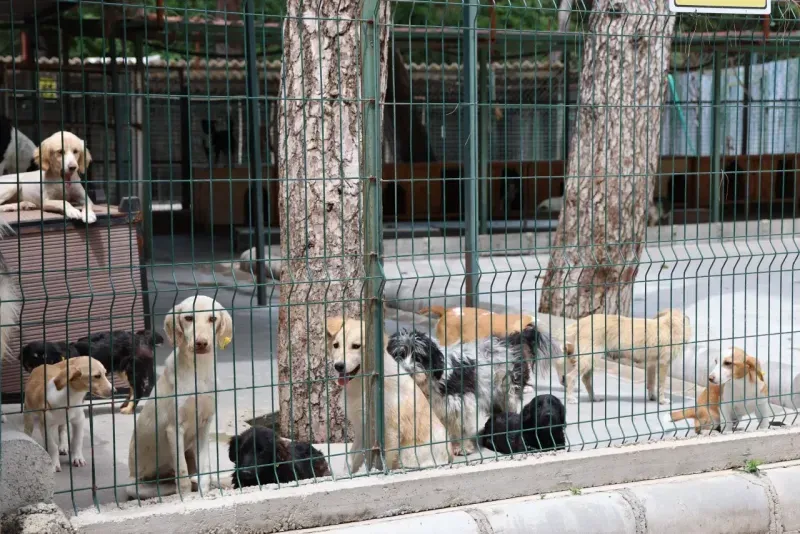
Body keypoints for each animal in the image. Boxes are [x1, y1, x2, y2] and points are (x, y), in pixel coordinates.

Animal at [126, 296, 231, 500]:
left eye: (212, 319)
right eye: (189, 318)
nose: (201, 343)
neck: (199, 371)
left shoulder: (204, 426)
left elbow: (205, 470)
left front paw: (204, 492)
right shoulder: (174, 428)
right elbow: (182, 475)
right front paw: (188, 498)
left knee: (204, 476)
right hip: (136, 486)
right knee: (172, 484)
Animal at [324, 318, 450, 474]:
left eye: (356, 346)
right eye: (336, 345)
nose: (338, 366)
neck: (363, 384)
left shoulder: (391, 431)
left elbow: (384, 461)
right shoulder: (361, 429)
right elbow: (351, 460)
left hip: (407, 454)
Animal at [388, 326, 556, 456]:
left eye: (419, 357)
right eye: (398, 355)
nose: (406, 370)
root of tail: (509, 341)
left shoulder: (461, 404)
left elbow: (461, 428)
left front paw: (463, 448)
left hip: (507, 391)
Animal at [560, 310, 692, 406]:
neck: (669, 325)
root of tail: (581, 322)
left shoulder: (652, 365)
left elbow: (651, 382)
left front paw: (652, 397)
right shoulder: (664, 364)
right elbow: (661, 383)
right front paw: (662, 400)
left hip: (591, 358)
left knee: (586, 378)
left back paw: (593, 398)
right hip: (589, 357)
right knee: (571, 376)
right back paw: (571, 398)